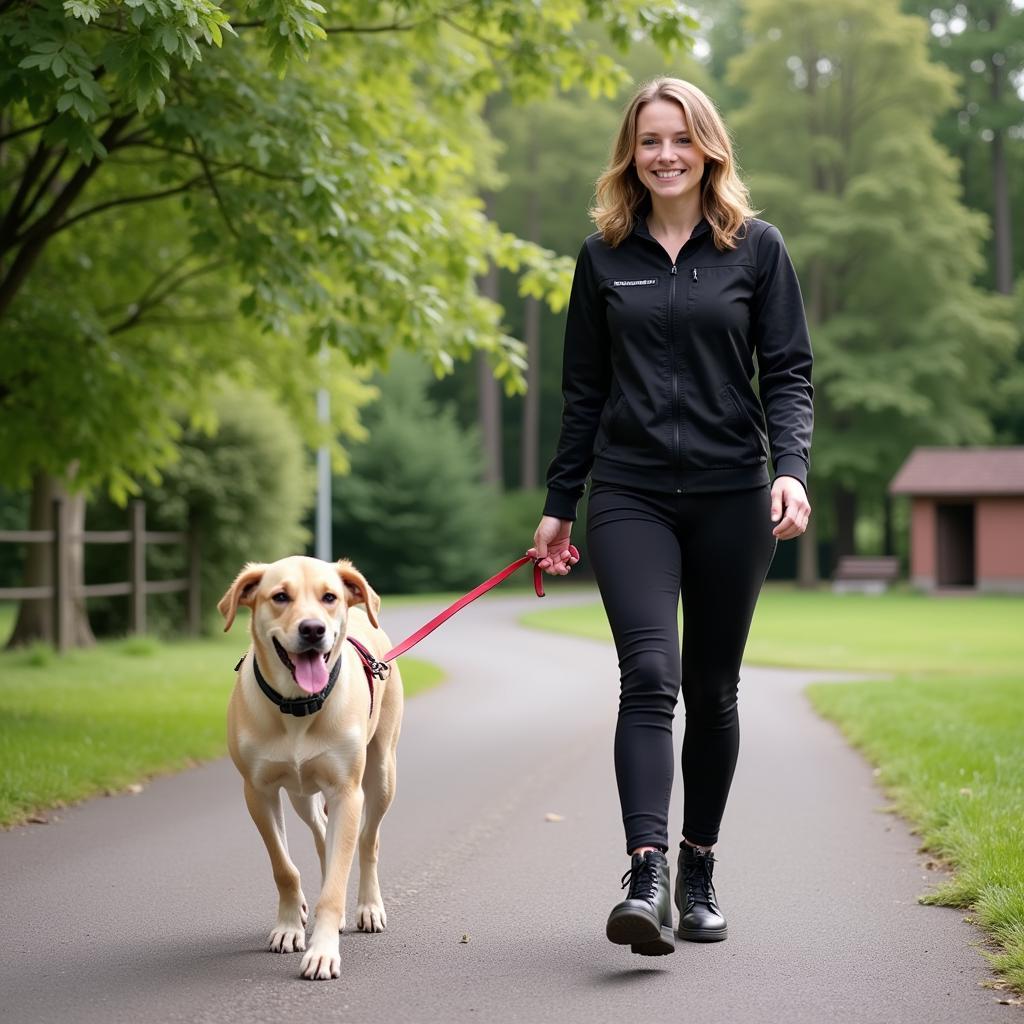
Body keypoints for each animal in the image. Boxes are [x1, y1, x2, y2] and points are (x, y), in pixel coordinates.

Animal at [218, 557, 401, 978]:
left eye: (329, 597)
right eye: (280, 596)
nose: (313, 629)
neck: (298, 704)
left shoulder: (347, 792)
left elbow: (336, 883)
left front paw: (323, 951)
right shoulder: (259, 793)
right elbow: (284, 867)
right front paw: (289, 927)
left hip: (382, 773)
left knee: (367, 840)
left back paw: (368, 906)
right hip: (301, 793)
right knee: (320, 832)